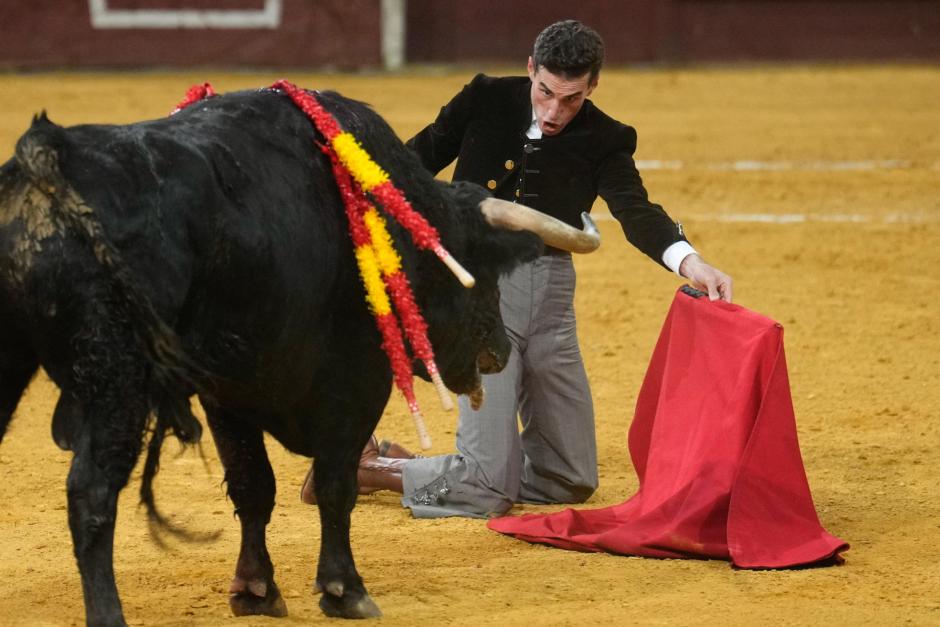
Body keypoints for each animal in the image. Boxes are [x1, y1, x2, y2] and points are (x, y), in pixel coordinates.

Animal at [0, 86, 600, 624]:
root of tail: (46, 165)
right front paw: (344, 589)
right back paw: (108, 613)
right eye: (482, 271)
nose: (500, 350)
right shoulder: (357, 383)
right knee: (92, 493)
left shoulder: (227, 393)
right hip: (117, 382)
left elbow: (253, 485)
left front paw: (254, 589)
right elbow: (336, 484)